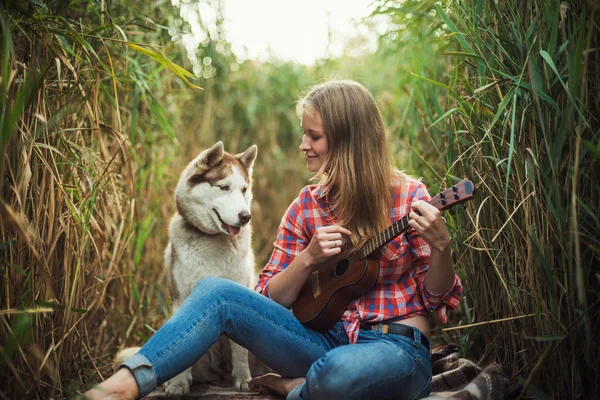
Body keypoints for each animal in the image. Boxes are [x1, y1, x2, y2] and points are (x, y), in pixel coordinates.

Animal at [162, 142, 258, 396]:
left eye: (244, 189)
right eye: (224, 187)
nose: (245, 216)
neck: (212, 240)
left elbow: (240, 350)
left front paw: (244, 379)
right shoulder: (182, 298)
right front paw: (177, 383)